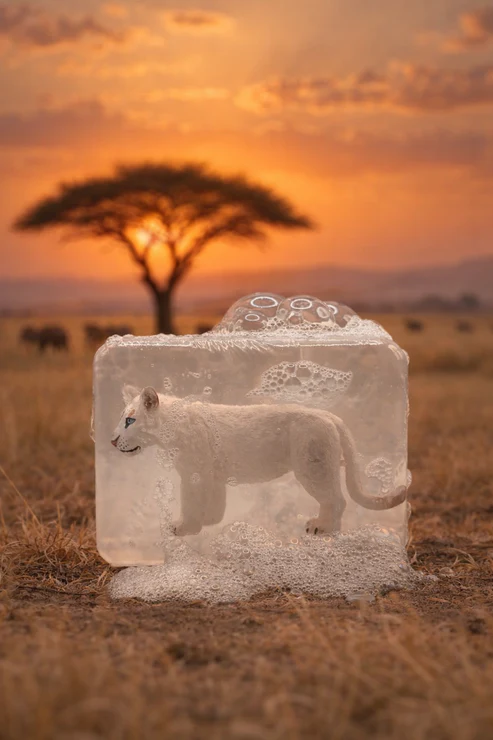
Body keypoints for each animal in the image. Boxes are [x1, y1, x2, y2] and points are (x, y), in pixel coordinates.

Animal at [111, 386, 407, 536]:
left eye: (130, 420)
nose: (112, 441)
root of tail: (329, 415)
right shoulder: (211, 476)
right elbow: (215, 503)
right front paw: (210, 521)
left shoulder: (194, 474)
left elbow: (190, 502)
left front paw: (183, 528)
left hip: (313, 467)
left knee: (336, 499)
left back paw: (322, 528)